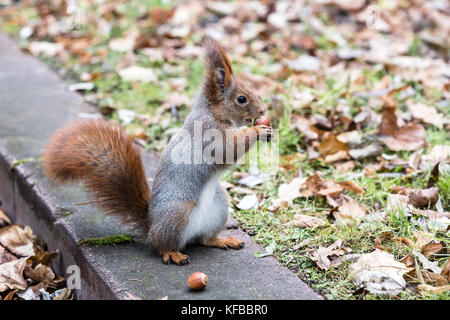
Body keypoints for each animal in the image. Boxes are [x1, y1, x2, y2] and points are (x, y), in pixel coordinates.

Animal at [44, 37, 272, 264]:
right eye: (241, 99)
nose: (262, 111)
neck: (213, 112)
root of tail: (151, 226)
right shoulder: (208, 134)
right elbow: (227, 149)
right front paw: (257, 130)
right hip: (178, 213)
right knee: (162, 245)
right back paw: (173, 254)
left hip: (219, 208)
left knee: (204, 239)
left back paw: (223, 240)